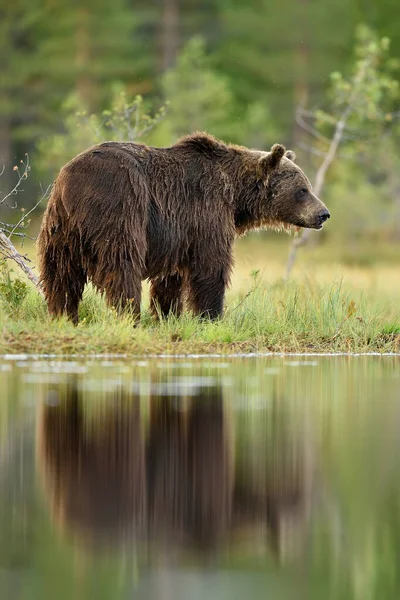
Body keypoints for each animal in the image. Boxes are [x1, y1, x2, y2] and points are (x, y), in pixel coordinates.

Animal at [38, 133, 332, 324]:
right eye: (303, 189)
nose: (324, 213)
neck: (235, 196)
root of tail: (71, 183)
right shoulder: (205, 211)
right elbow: (211, 266)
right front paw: (211, 316)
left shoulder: (178, 231)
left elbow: (171, 278)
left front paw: (167, 315)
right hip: (120, 204)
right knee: (122, 265)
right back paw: (130, 315)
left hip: (59, 228)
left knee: (61, 274)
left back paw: (63, 314)